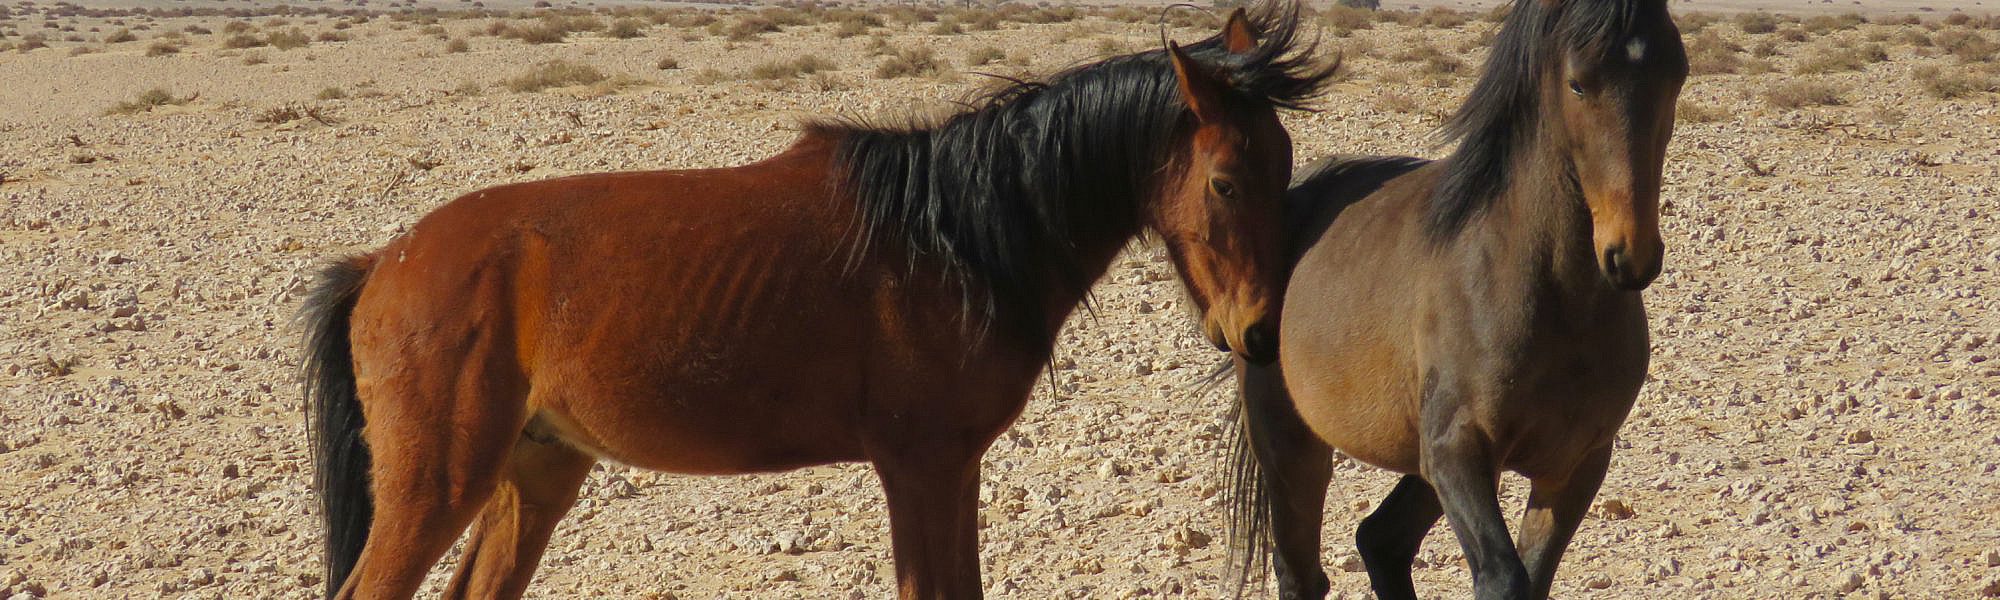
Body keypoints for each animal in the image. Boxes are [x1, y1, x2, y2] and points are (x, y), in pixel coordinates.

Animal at [299, 4, 1338, 598]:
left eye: (1284, 162)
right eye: (1227, 182)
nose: (1260, 333)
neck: (954, 236)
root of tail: (383, 265)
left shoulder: (953, 469)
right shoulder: (918, 468)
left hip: (537, 471)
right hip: (438, 487)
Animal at [1224, 1, 1687, 598]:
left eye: (1676, 75)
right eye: (1578, 83)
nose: (1631, 253)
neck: (1552, 297)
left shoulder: (1575, 466)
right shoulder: (1456, 452)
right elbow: (1503, 577)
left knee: (1381, 540)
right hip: (1292, 446)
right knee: (1302, 571)